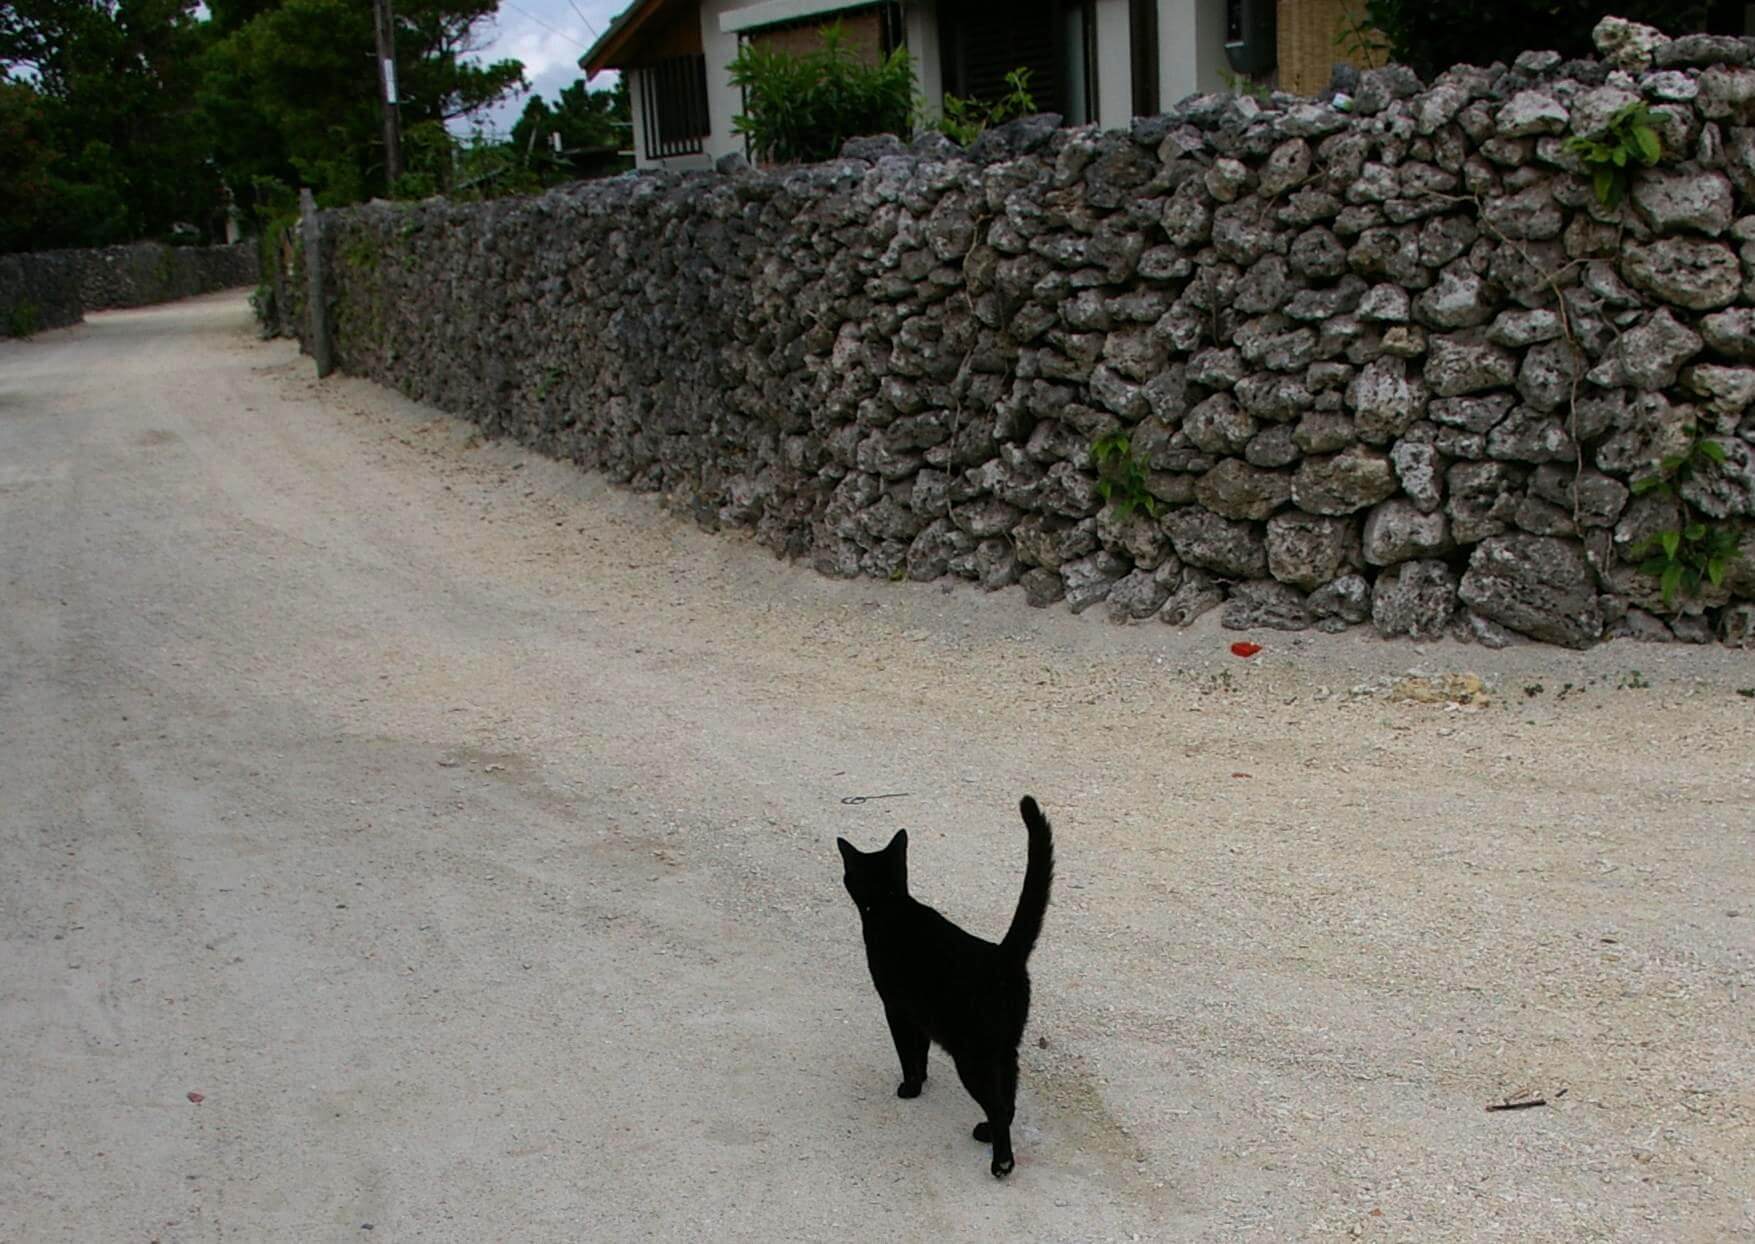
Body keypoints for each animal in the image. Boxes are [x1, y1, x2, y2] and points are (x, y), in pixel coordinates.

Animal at [835, 796, 1053, 1172]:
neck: (891, 906)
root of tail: (1003, 955)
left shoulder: (896, 1008)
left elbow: (908, 1052)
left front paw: (910, 1088)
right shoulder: (919, 1015)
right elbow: (920, 1052)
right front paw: (920, 1082)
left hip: (972, 1055)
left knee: (997, 1105)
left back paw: (1001, 1163)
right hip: (1006, 1048)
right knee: (1008, 1097)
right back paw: (986, 1134)